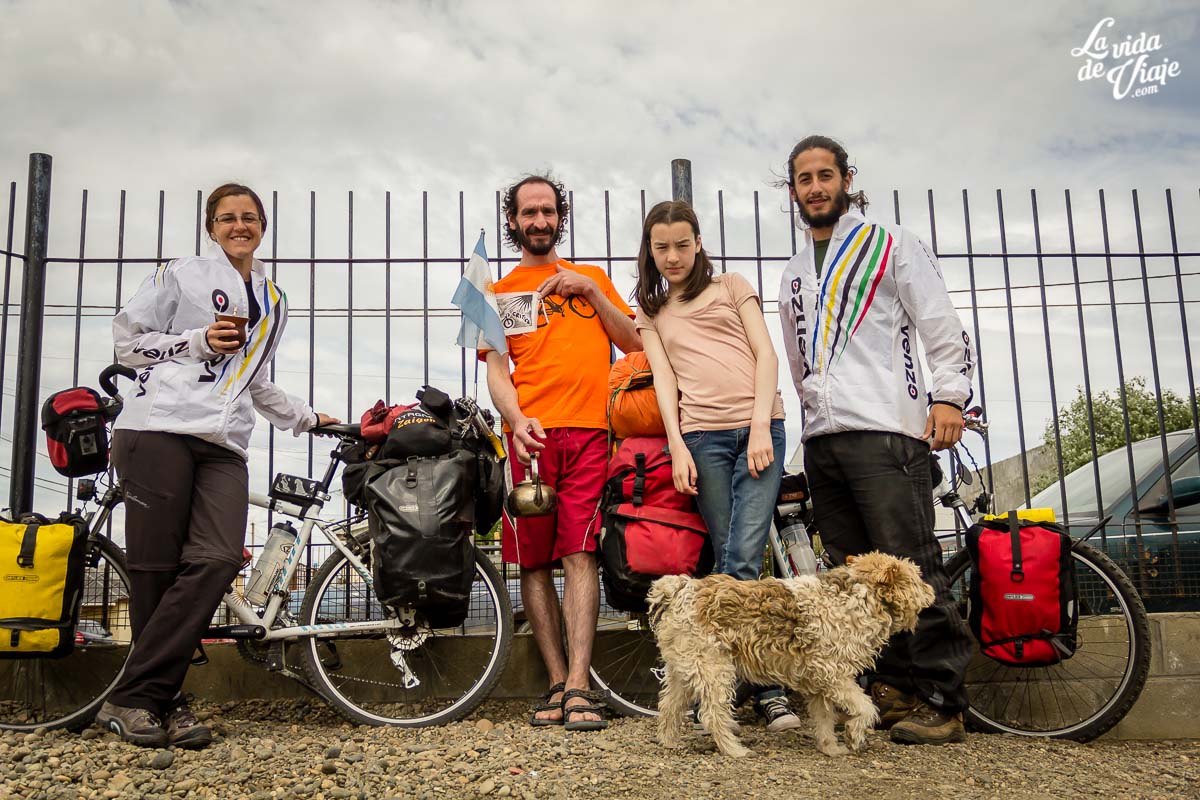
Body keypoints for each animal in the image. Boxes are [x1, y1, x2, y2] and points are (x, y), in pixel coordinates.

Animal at [647, 551, 935, 757]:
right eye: (916, 578)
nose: (932, 592)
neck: (857, 598)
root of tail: (681, 590)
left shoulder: (821, 684)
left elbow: (824, 719)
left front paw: (831, 748)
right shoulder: (835, 676)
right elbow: (865, 707)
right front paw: (854, 735)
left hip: (684, 670)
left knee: (669, 706)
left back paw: (669, 742)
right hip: (714, 670)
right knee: (711, 715)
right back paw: (734, 750)